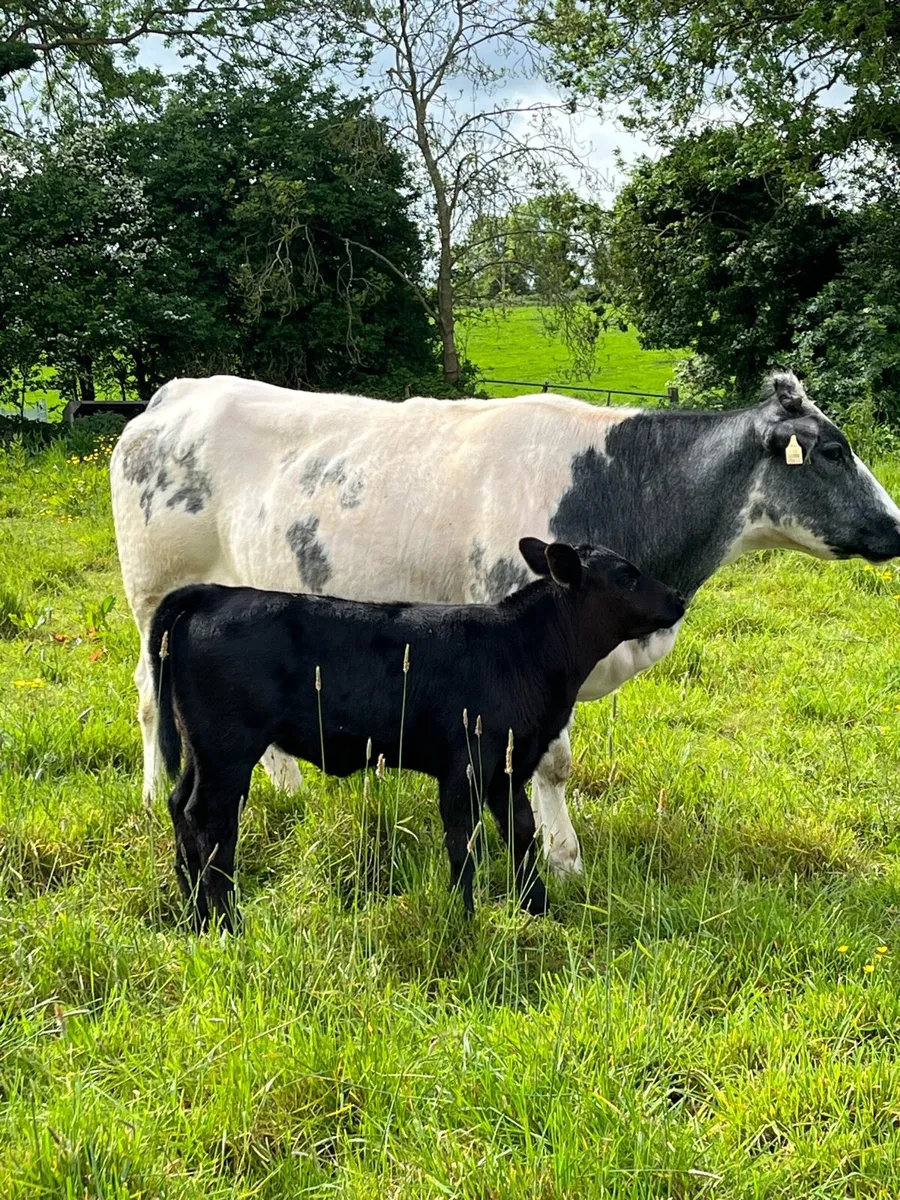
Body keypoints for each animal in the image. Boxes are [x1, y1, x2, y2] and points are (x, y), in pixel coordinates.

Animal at [111, 370, 900, 876]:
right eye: (833, 451)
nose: (897, 527)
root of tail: (181, 392)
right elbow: (548, 762)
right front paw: (561, 859)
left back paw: (289, 790)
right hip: (153, 591)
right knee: (150, 698)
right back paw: (151, 796)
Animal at [150, 539, 685, 929]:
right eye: (627, 576)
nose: (678, 598)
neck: (521, 648)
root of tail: (217, 592)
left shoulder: (509, 768)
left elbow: (522, 834)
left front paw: (538, 909)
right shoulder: (465, 765)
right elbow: (463, 841)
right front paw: (464, 918)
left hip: (201, 748)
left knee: (180, 805)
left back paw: (194, 912)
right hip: (228, 750)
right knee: (209, 819)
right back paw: (225, 920)